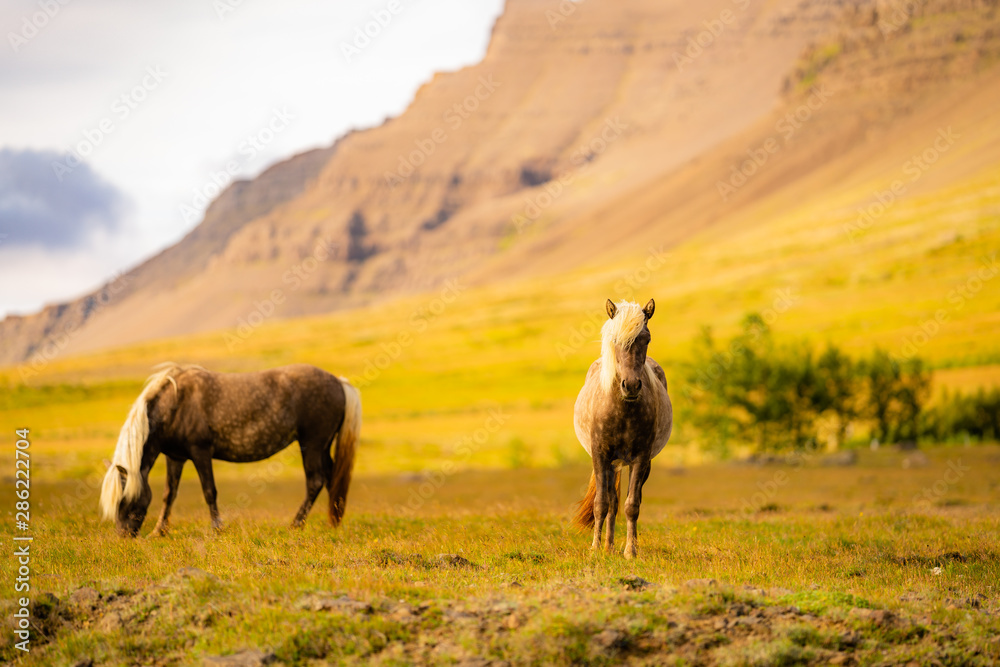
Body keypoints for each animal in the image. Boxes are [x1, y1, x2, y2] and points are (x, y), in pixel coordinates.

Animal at [99, 363, 362, 537]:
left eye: (124, 499)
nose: (123, 536)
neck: (174, 403)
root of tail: (339, 382)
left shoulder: (200, 452)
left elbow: (209, 491)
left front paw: (218, 528)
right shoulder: (176, 457)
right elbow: (169, 494)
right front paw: (159, 531)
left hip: (312, 444)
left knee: (315, 481)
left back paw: (296, 525)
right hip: (323, 446)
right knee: (332, 478)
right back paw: (333, 522)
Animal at [572, 299, 672, 558]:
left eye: (646, 338)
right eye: (615, 340)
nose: (632, 386)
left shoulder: (640, 458)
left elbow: (632, 505)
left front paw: (630, 551)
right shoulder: (600, 456)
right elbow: (601, 504)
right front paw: (596, 548)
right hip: (612, 464)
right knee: (611, 502)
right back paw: (607, 545)